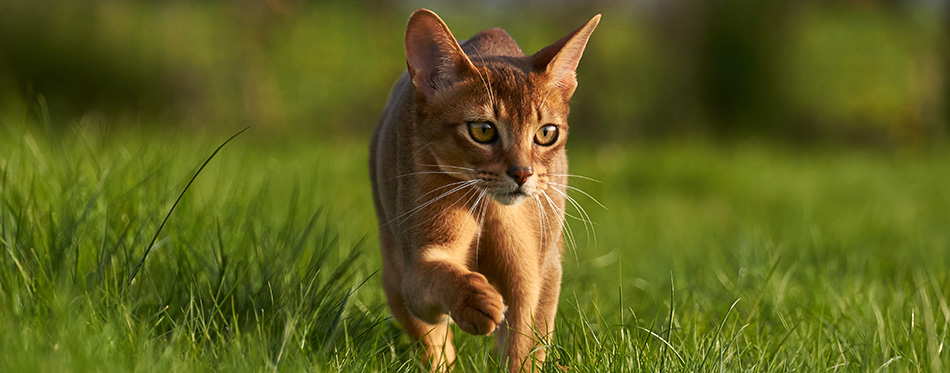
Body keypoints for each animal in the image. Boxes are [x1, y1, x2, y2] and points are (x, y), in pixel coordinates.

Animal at [368, 8, 600, 370]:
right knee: (434, 346)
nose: (522, 173)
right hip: (393, 273)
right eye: (482, 130)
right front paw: (475, 301)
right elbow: (438, 275)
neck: (490, 209)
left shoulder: (534, 277)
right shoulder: (416, 266)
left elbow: (523, 349)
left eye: (546, 133)